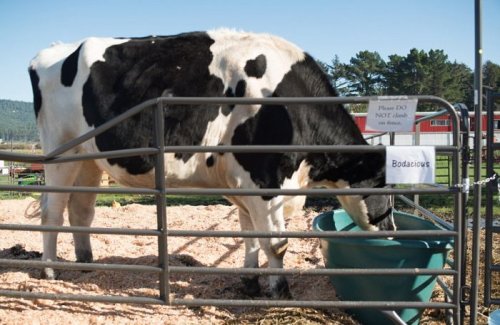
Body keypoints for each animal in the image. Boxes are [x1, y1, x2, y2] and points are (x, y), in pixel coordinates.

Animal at [28, 29, 394, 298]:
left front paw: (250, 282)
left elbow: (250, 235)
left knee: (80, 209)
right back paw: (50, 269)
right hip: (60, 150)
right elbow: (276, 243)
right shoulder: (264, 179)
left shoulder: (245, 183)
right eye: (384, 185)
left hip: (88, 158)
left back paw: (86, 263)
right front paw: (280, 291)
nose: (391, 232)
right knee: (51, 210)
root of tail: (52, 51)